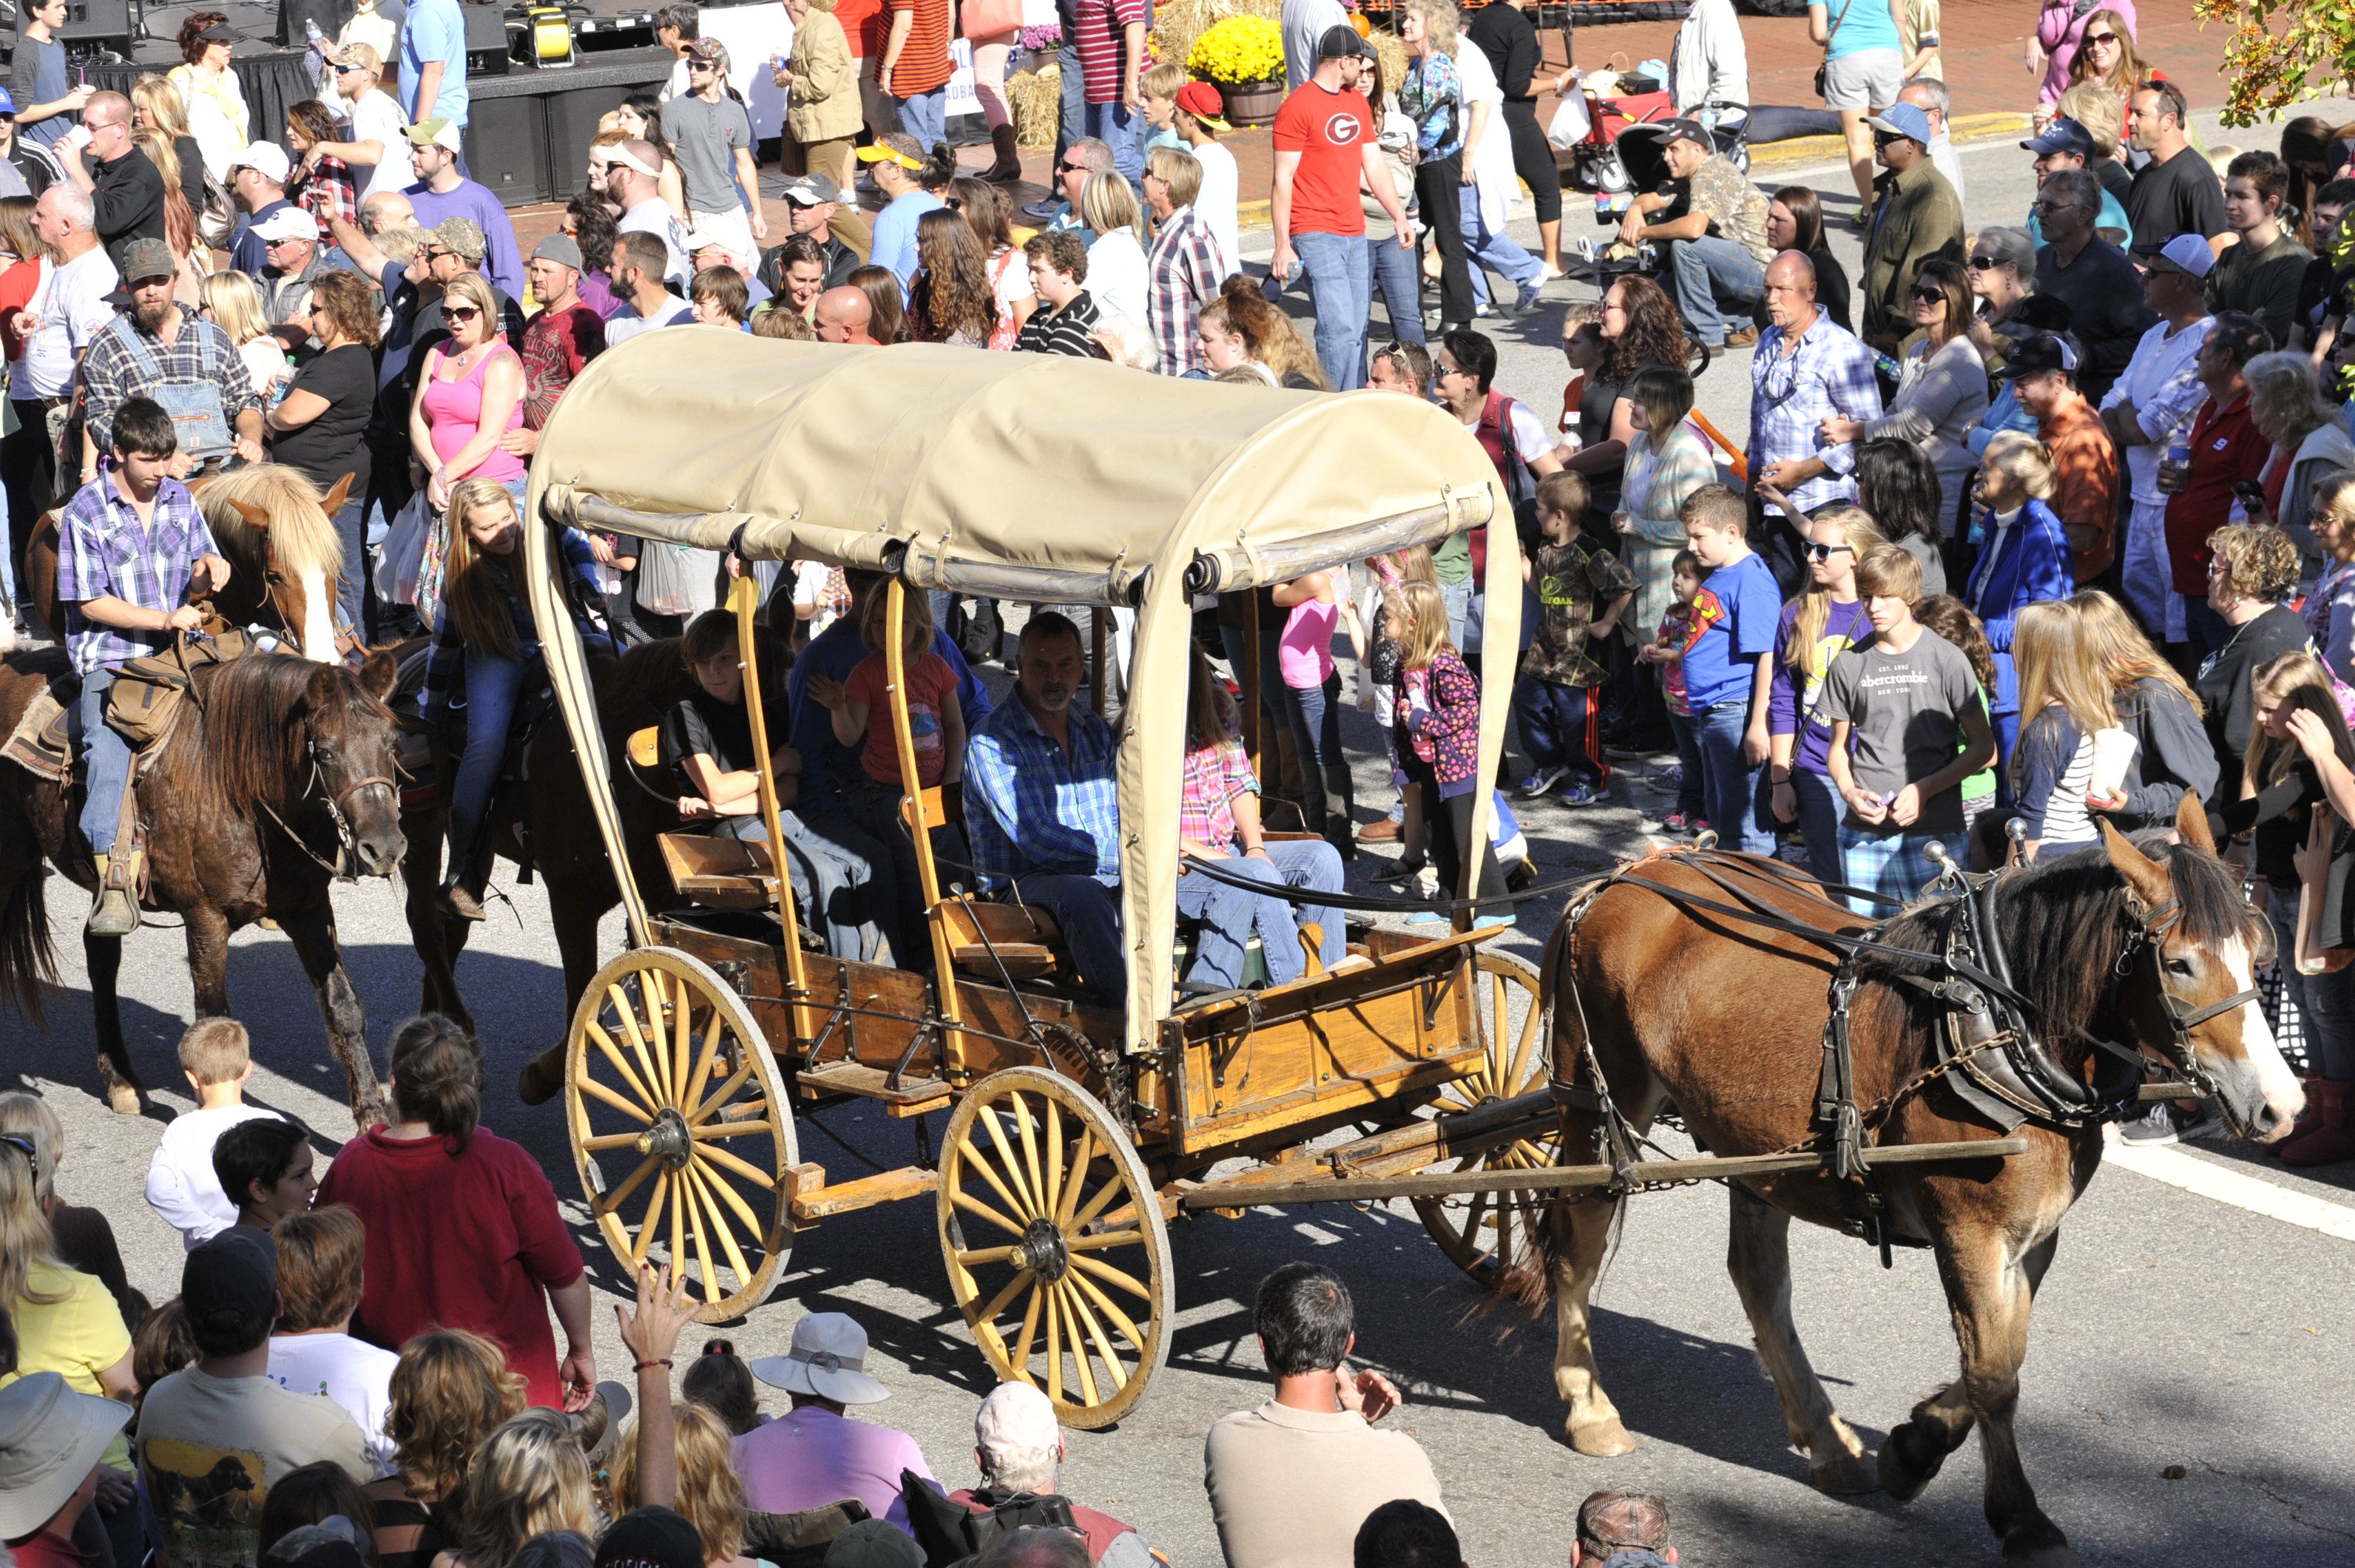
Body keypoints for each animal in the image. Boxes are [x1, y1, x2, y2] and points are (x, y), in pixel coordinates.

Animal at [0, 640, 405, 1115]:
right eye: (323, 750)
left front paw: (371, 1113)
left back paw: (122, 1080)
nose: (384, 848)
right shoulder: (205, 917)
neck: (237, 787)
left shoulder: (308, 909)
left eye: (392, 742)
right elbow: (213, 1019)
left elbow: (344, 1007)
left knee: (101, 958)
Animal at [1526, 805, 2298, 1563]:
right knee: (1577, 1252)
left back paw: (1828, 1440)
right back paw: (1590, 1408)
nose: (2281, 1105)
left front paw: (1915, 1445)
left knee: (1757, 1278)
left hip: (1756, 1151)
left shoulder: (2031, 1237)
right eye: (2178, 963)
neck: (1999, 1028)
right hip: (1596, 1107)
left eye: (2259, 954)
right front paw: (2018, 1516)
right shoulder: (1969, 1232)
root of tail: (1623, 876)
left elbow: (2005, 1356)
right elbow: (1993, 1374)